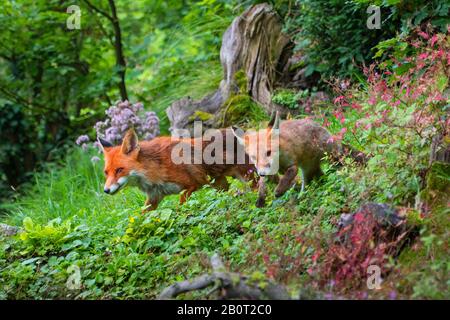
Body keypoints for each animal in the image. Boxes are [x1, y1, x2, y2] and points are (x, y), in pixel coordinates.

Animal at [99, 127, 253, 212]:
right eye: (106, 173)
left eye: (119, 170)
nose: (106, 190)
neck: (156, 167)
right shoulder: (154, 197)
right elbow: (140, 218)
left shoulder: (194, 184)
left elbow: (181, 203)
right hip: (219, 183)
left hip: (247, 176)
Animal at [232, 112, 366, 208]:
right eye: (254, 157)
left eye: (269, 153)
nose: (262, 173)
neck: (278, 162)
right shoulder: (267, 171)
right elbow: (262, 184)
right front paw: (261, 198)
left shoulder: (292, 165)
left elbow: (286, 178)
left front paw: (279, 191)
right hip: (309, 170)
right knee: (319, 178)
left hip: (331, 160)